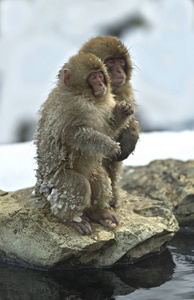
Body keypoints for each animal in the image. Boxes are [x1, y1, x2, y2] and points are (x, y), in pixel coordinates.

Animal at [34, 52, 133, 234]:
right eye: (92, 77)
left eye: (100, 74)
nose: (101, 83)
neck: (85, 96)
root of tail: (41, 189)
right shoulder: (70, 108)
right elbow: (77, 135)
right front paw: (110, 146)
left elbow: (108, 127)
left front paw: (123, 110)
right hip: (54, 182)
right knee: (77, 185)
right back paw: (71, 219)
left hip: (90, 173)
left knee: (100, 177)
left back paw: (98, 212)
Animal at [79, 35, 140, 206]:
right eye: (111, 62)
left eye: (121, 61)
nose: (119, 71)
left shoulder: (125, 91)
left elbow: (128, 122)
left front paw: (130, 139)